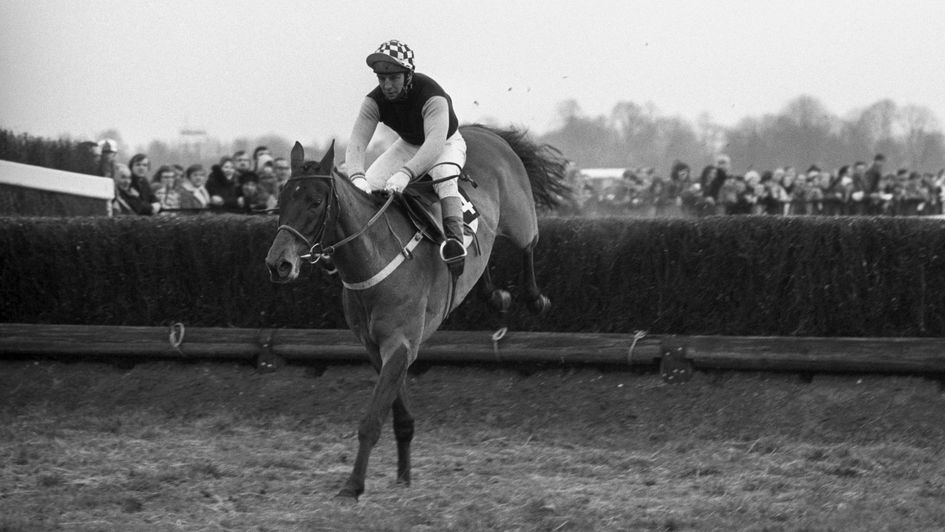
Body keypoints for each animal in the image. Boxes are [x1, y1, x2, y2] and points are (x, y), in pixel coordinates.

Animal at [266, 123, 568, 498]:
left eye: (315, 202)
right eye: (281, 201)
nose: (278, 264)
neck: (374, 258)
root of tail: (483, 131)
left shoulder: (400, 343)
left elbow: (372, 419)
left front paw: (353, 485)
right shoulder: (377, 347)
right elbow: (399, 414)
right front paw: (403, 475)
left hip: (519, 215)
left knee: (529, 243)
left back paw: (535, 298)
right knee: (481, 257)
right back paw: (495, 295)